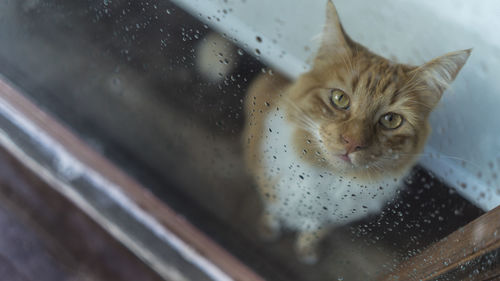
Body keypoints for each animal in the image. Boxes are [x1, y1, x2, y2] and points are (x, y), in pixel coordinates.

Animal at [242, 0, 468, 264]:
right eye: (339, 99)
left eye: (391, 120)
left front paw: (307, 249)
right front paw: (268, 229)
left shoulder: (334, 217)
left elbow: (315, 229)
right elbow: (273, 208)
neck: (328, 178)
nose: (352, 142)